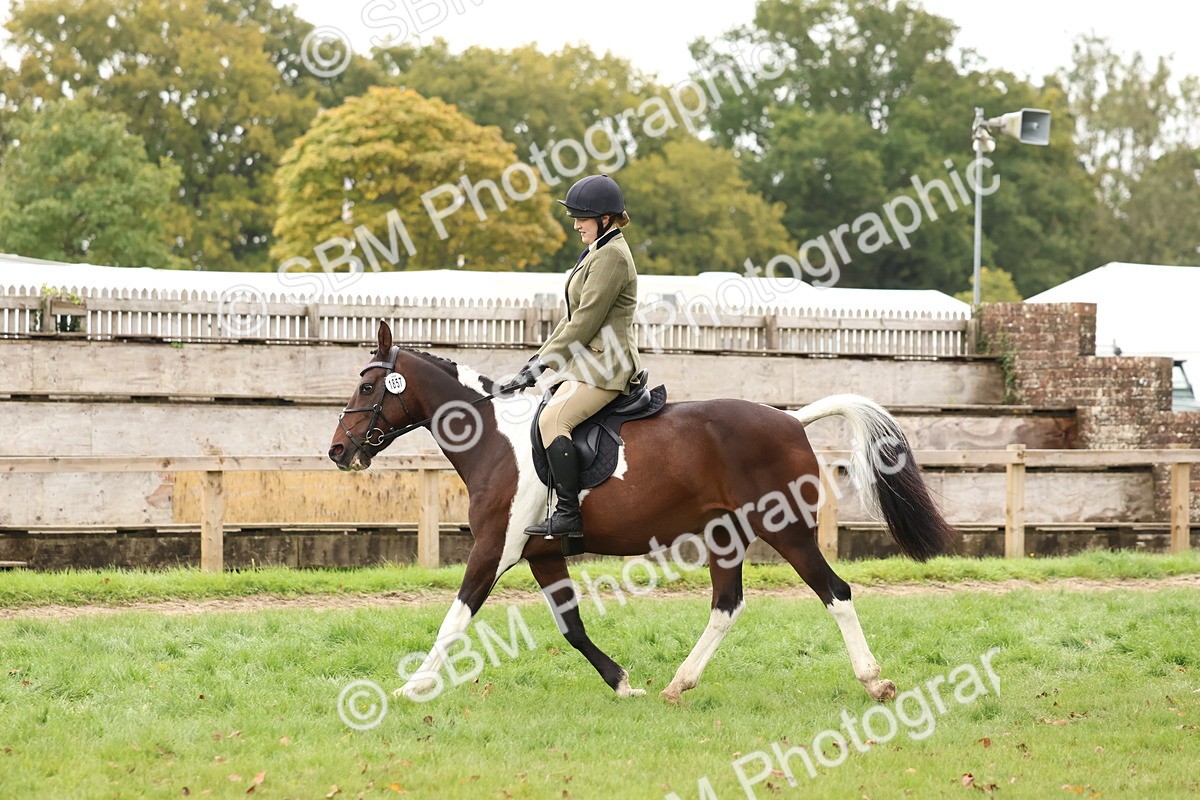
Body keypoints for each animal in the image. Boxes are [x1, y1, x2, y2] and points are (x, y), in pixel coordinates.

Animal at [327, 321, 959, 703]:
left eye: (368, 387)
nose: (338, 452)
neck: (493, 439)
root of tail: (789, 419)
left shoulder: (495, 548)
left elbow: (456, 617)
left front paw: (412, 687)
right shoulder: (542, 553)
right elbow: (573, 627)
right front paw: (622, 682)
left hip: (787, 531)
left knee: (836, 592)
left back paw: (874, 682)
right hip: (725, 535)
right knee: (727, 604)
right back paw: (679, 683)